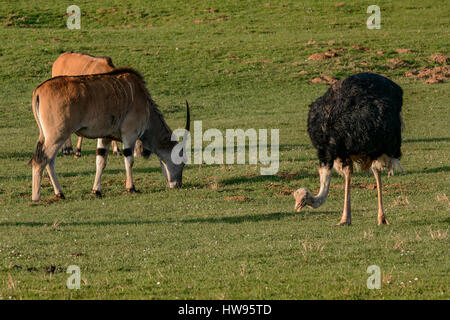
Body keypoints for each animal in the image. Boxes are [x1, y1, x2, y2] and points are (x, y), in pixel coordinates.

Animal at [29, 68, 189, 201]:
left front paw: (96, 191)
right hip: (57, 136)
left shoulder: (104, 137)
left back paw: (60, 193)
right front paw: (131, 188)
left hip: (49, 136)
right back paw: (37, 197)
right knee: (41, 160)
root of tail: (38, 90)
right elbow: (129, 160)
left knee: (49, 161)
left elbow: (100, 162)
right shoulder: (129, 135)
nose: (178, 184)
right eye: (182, 161)